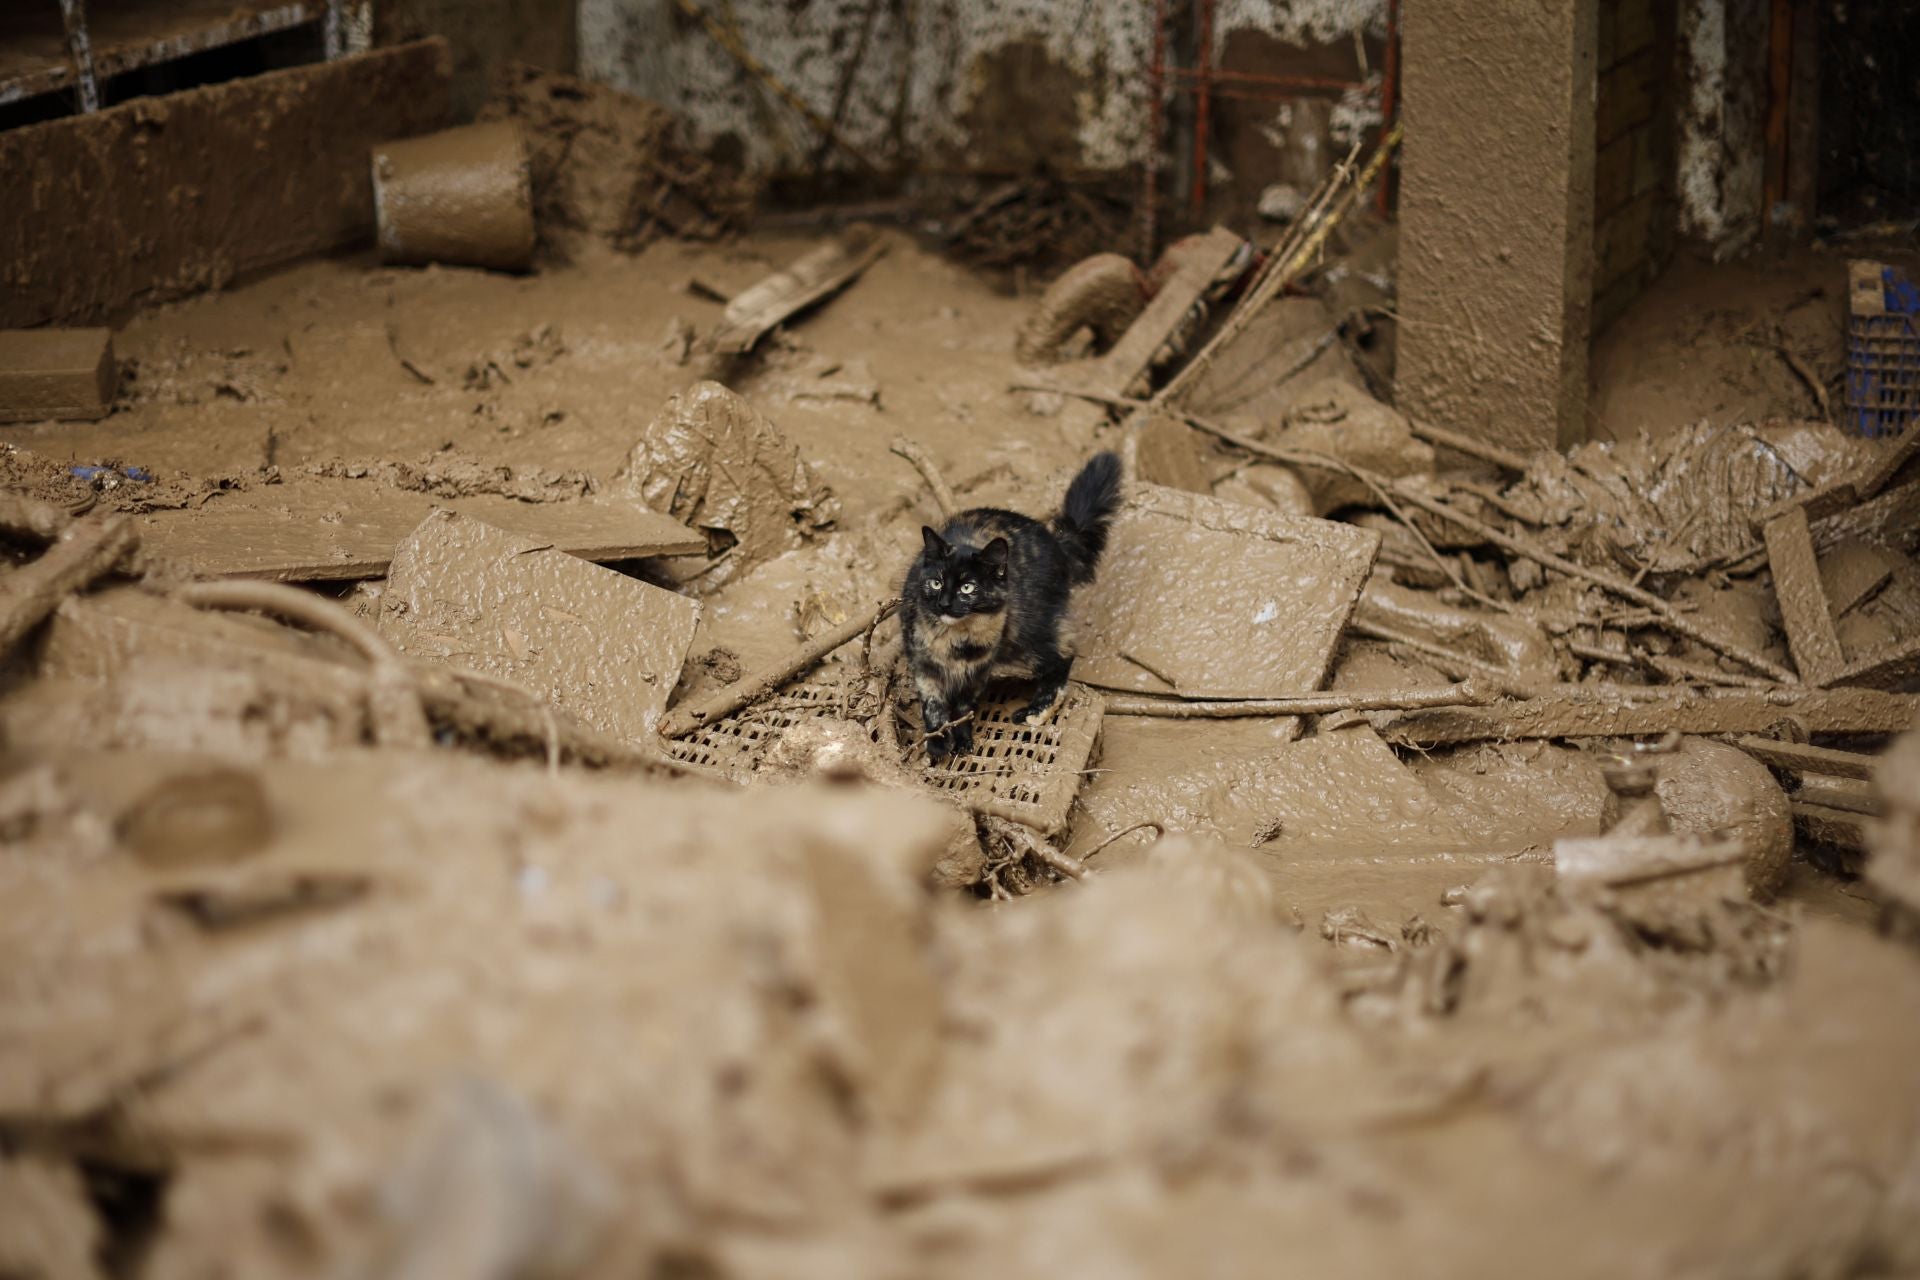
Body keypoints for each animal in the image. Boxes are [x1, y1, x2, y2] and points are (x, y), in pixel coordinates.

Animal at [902, 452, 1121, 759]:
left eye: (967, 587)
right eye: (936, 582)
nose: (944, 603)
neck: (955, 642)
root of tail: (1058, 544)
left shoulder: (978, 673)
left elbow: (963, 709)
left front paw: (963, 741)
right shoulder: (923, 666)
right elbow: (933, 707)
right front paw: (937, 743)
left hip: (1025, 635)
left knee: (1064, 654)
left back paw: (1036, 711)